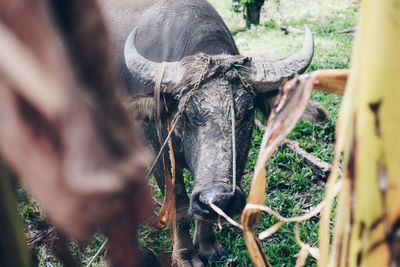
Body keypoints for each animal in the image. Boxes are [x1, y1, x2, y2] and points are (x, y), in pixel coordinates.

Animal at [100, 0, 324, 266]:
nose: (219, 199)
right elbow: (178, 202)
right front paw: (185, 255)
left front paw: (207, 246)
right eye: (186, 115)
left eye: (246, 114)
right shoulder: (156, 149)